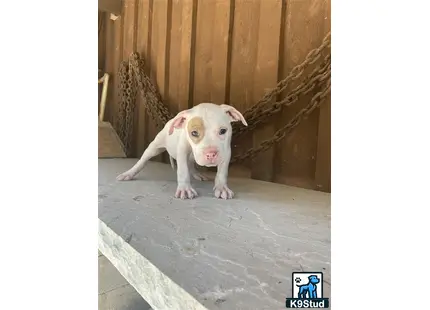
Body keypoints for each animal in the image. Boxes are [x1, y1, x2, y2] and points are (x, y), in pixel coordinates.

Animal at [116, 101, 247, 199]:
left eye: (223, 131)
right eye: (194, 133)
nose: (211, 154)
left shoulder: (226, 152)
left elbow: (222, 172)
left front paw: (222, 188)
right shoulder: (182, 151)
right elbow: (183, 170)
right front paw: (185, 189)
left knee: (191, 164)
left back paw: (197, 174)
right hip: (154, 147)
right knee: (142, 161)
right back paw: (128, 173)